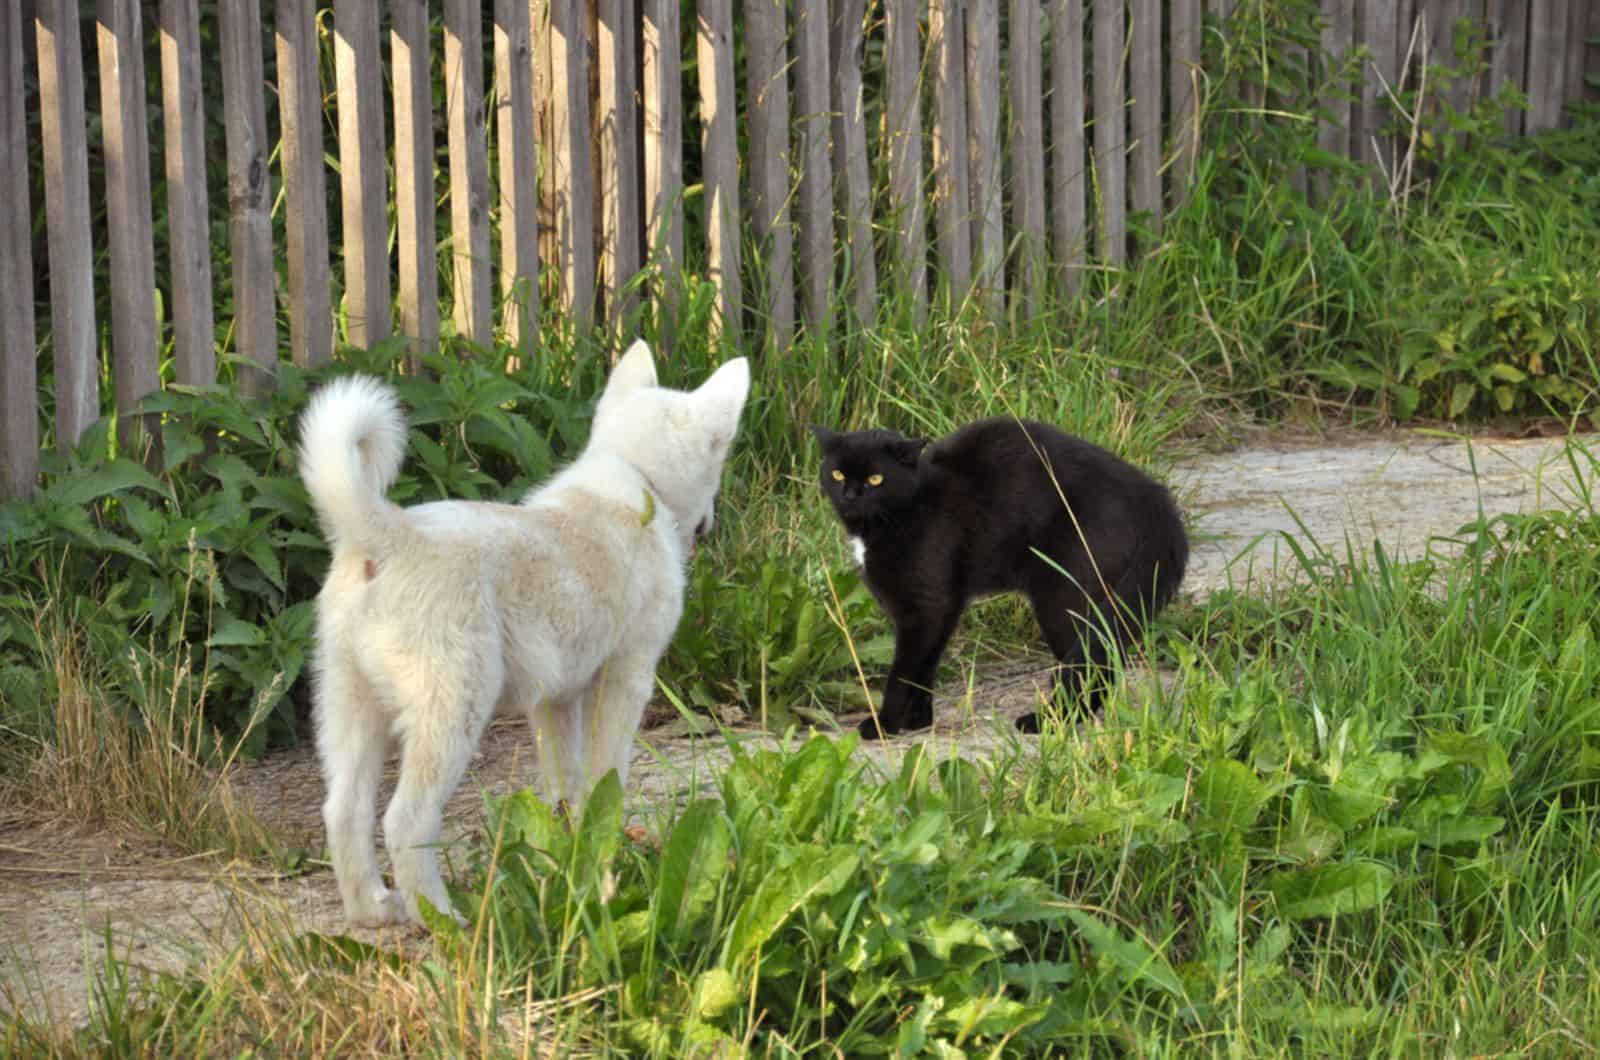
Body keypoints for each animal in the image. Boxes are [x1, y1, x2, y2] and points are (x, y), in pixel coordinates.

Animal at [299, 344, 748, 928]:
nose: (710, 524)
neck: (634, 478)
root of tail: (393, 535)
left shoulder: (552, 700)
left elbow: (565, 783)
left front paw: (570, 843)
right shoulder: (625, 681)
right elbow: (607, 773)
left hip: (349, 707)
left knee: (345, 810)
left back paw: (372, 910)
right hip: (451, 714)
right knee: (405, 820)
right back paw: (445, 919)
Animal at [819, 416, 1184, 739]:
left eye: (876, 479)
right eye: (837, 473)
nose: (850, 494)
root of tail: (1152, 495)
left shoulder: (927, 606)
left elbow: (903, 674)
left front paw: (884, 725)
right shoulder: (938, 611)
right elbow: (925, 667)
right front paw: (917, 722)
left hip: (1062, 598)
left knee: (1094, 664)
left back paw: (1048, 721)